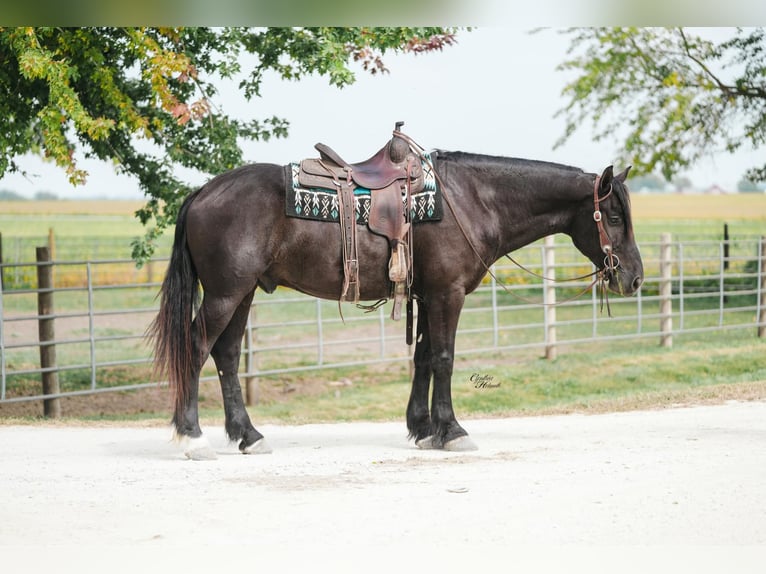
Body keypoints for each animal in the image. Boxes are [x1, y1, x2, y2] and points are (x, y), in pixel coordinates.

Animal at [150, 145, 644, 460]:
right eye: (614, 216)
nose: (635, 277)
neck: (470, 200)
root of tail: (202, 192)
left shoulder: (427, 295)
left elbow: (423, 358)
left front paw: (423, 429)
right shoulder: (447, 293)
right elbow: (444, 358)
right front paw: (452, 431)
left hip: (243, 293)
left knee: (227, 355)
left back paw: (248, 436)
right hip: (225, 293)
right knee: (196, 348)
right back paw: (192, 437)